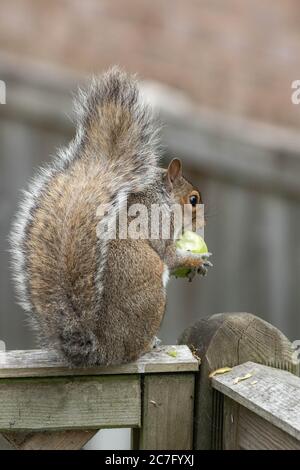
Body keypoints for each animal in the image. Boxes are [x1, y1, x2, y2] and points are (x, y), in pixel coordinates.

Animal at [10, 67, 212, 368]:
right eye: (193, 200)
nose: (204, 223)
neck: (162, 198)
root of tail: (102, 350)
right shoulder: (160, 224)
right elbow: (170, 255)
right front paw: (196, 260)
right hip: (151, 294)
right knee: (133, 350)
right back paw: (148, 346)